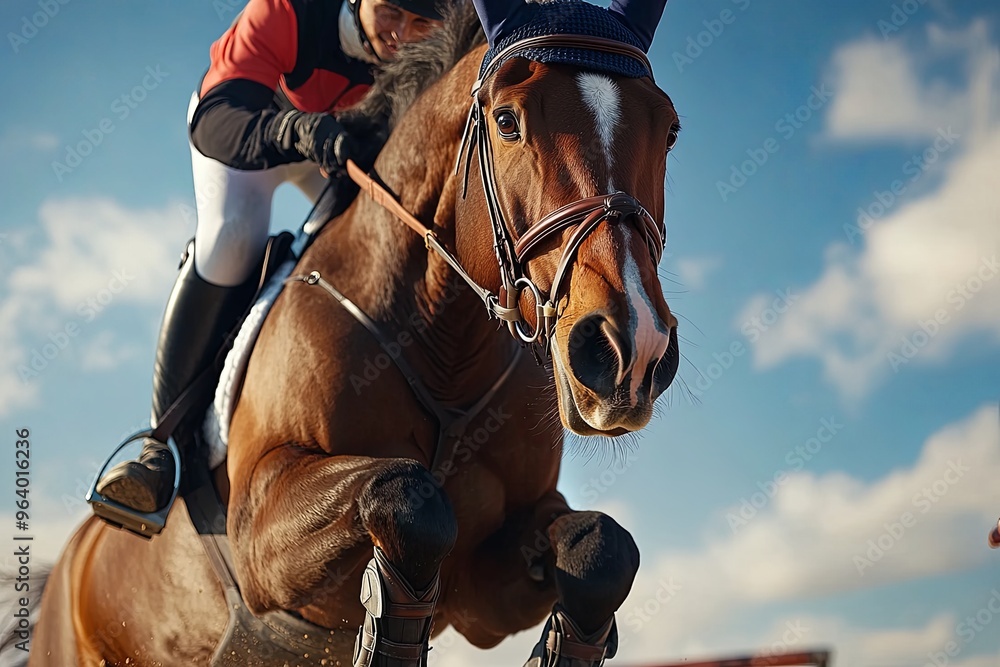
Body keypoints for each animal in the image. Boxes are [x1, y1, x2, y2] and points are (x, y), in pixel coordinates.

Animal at [20, 3, 681, 664]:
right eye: (506, 120)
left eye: (669, 130)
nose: (628, 349)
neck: (445, 345)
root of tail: (66, 567)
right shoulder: (259, 525)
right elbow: (411, 498)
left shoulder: (484, 597)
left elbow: (602, 549)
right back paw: (146, 473)